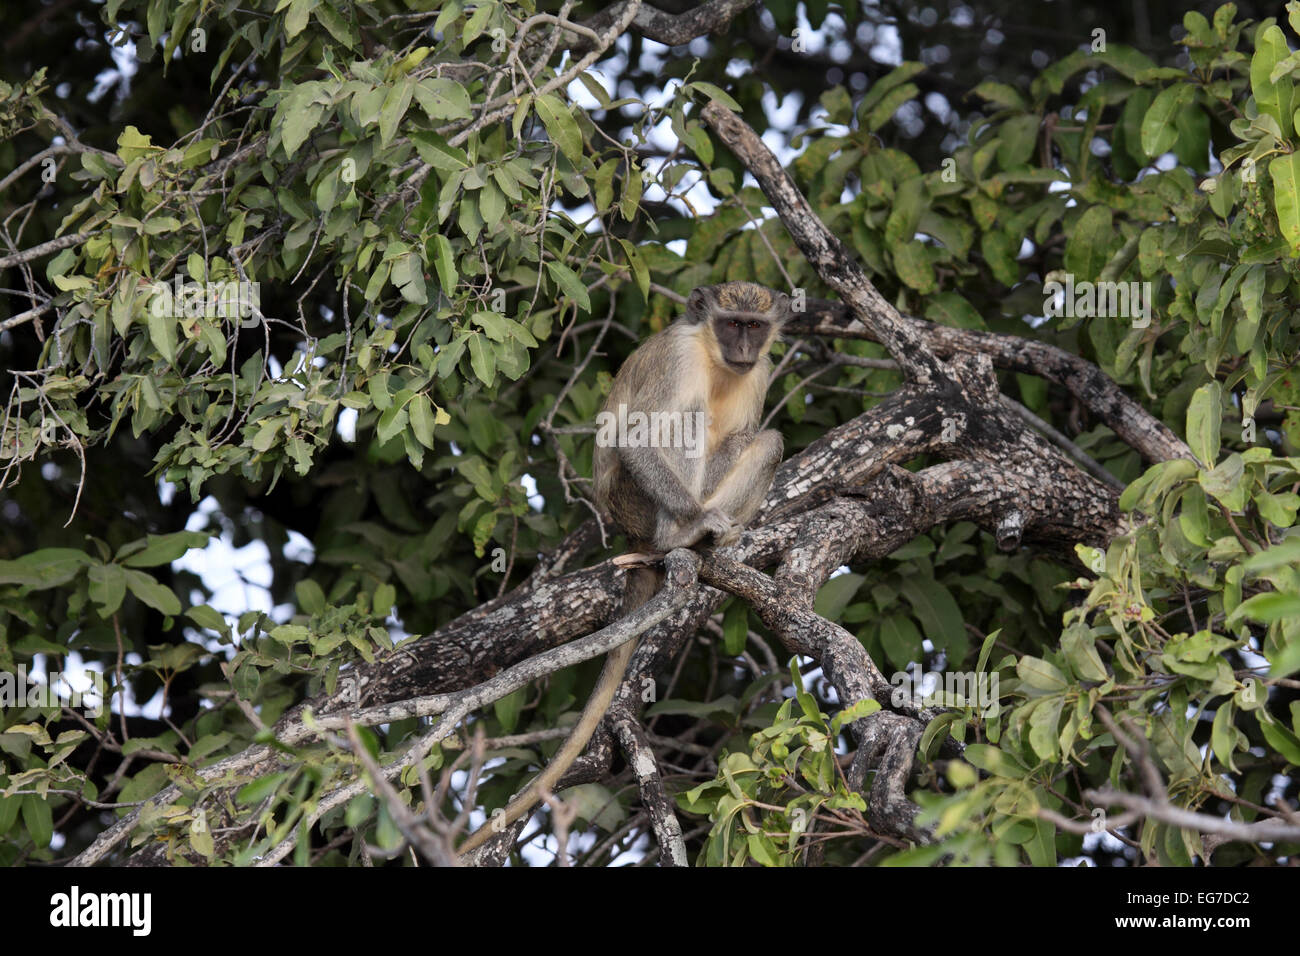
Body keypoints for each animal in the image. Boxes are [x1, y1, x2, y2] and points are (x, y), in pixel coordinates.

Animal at [454, 280, 790, 858]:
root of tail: (633, 536)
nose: (744, 349)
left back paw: (714, 544)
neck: (714, 357)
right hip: (635, 503)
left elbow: (753, 433)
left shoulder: (760, 372)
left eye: (754, 326)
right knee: (686, 420)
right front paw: (700, 521)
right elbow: (638, 435)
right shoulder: (679, 358)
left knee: (765, 441)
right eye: (731, 324)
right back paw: (685, 533)